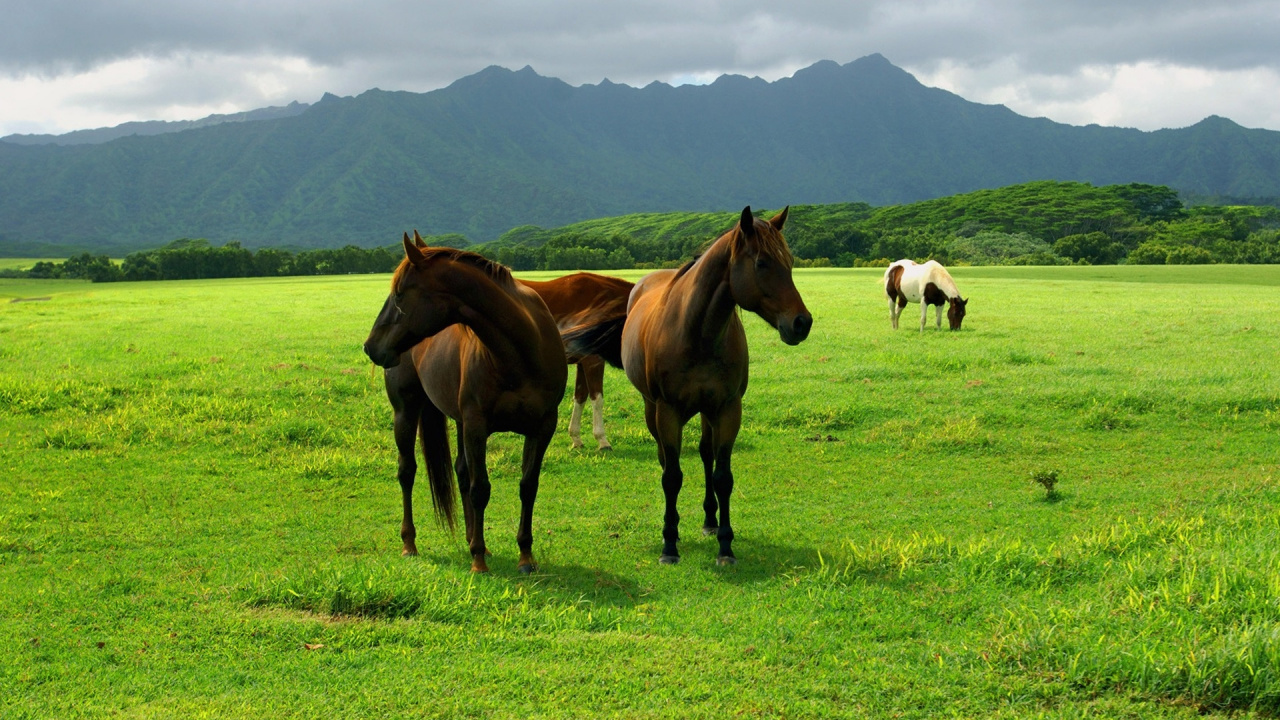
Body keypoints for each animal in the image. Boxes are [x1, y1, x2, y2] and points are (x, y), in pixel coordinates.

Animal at [363, 231, 567, 574]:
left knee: (460, 470)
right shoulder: (476, 425)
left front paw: (525, 556)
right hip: (406, 412)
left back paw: (472, 537)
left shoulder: (542, 427)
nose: (370, 347)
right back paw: (410, 543)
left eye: (400, 295)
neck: (521, 351)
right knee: (408, 472)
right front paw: (479, 561)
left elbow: (528, 486)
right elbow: (480, 488)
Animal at [519, 273, 635, 451]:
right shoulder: (593, 361)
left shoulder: (582, 363)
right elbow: (597, 398)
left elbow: (580, 397)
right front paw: (602, 440)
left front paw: (576, 438)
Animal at [565, 206, 812, 565]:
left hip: (707, 412)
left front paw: (725, 544)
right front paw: (669, 543)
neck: (698, 333)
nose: (801, 323)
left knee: (706, 454)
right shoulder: (667, 412)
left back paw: (710, 520)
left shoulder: (727, 409)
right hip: (652, 409)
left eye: (790, 261)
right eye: (762, 263)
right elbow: (672, 476)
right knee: (665, 460)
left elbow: (722, 476)